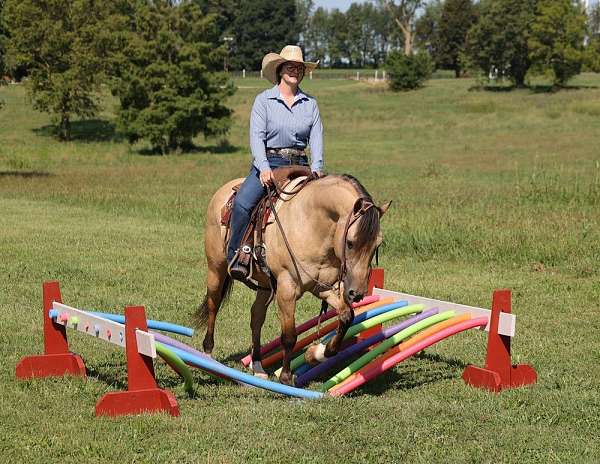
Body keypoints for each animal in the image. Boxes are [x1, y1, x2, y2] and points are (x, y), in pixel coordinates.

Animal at [197, 173, 392, 384]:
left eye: (377, 245)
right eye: (350, 242)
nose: (357, 293)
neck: (312, 225)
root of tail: (224, 190)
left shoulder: (323, 287)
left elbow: (347, 316)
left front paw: (316, 353)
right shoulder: (287, 289)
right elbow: (289, 336)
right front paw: (285, 376)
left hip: (265, 285)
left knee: (256, 316)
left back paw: (257, 366)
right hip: (216, 268)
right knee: (214, 304)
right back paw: (207, 354)